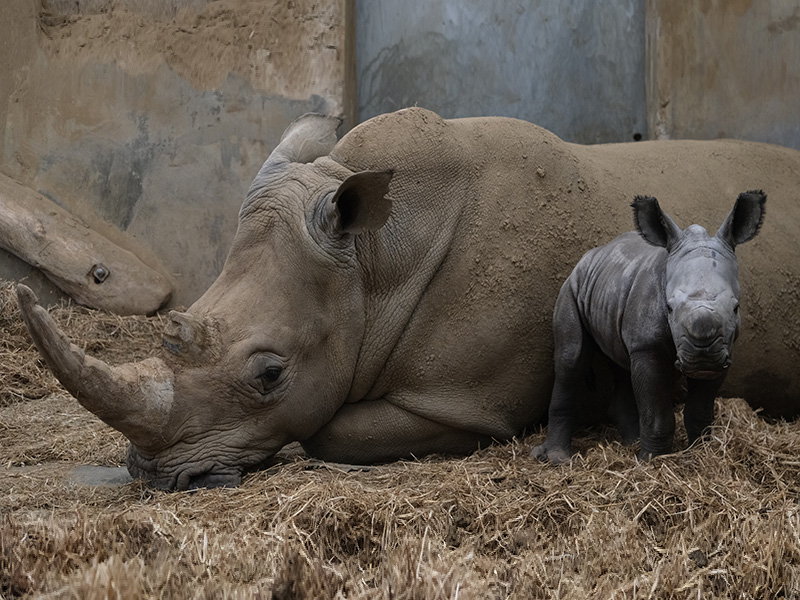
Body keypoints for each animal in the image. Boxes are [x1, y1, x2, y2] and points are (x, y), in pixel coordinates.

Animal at [533, 192, 766, 464]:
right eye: (669, 308)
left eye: (736, 307)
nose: (702, 356)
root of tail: (589, 256)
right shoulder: (646, 347)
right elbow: (656, 414)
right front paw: (652, 461)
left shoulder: (724, 351)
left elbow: (699, 411)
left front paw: (701, 452)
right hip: (571, 286)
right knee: (571, 359)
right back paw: (558, 458)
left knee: (620, 363)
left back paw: (631, 443)